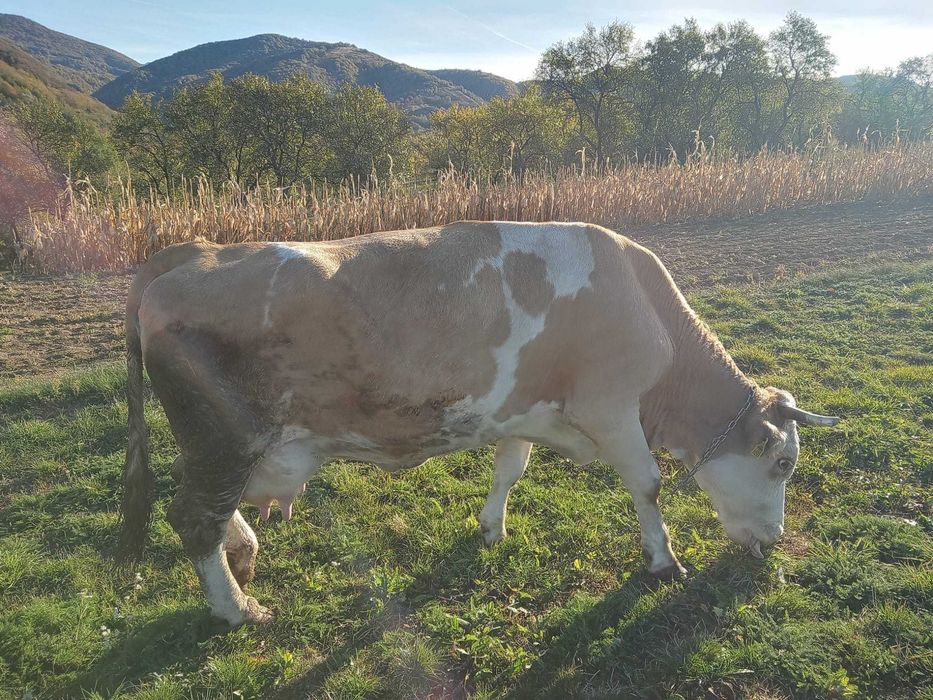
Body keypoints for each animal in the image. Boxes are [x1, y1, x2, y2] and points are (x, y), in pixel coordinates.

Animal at [117, 221, 840, 626]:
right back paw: (237, 609)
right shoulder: (610, 409)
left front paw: (492, 527)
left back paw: (242, 556)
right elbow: (647, 484)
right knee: (193, 516)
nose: (774, 540)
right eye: (782, 463)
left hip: (227, 444)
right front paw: (663, 559)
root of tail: (191, 251)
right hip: (224, 437)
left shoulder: (522, 408)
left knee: (213, 509)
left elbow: (510, 467)